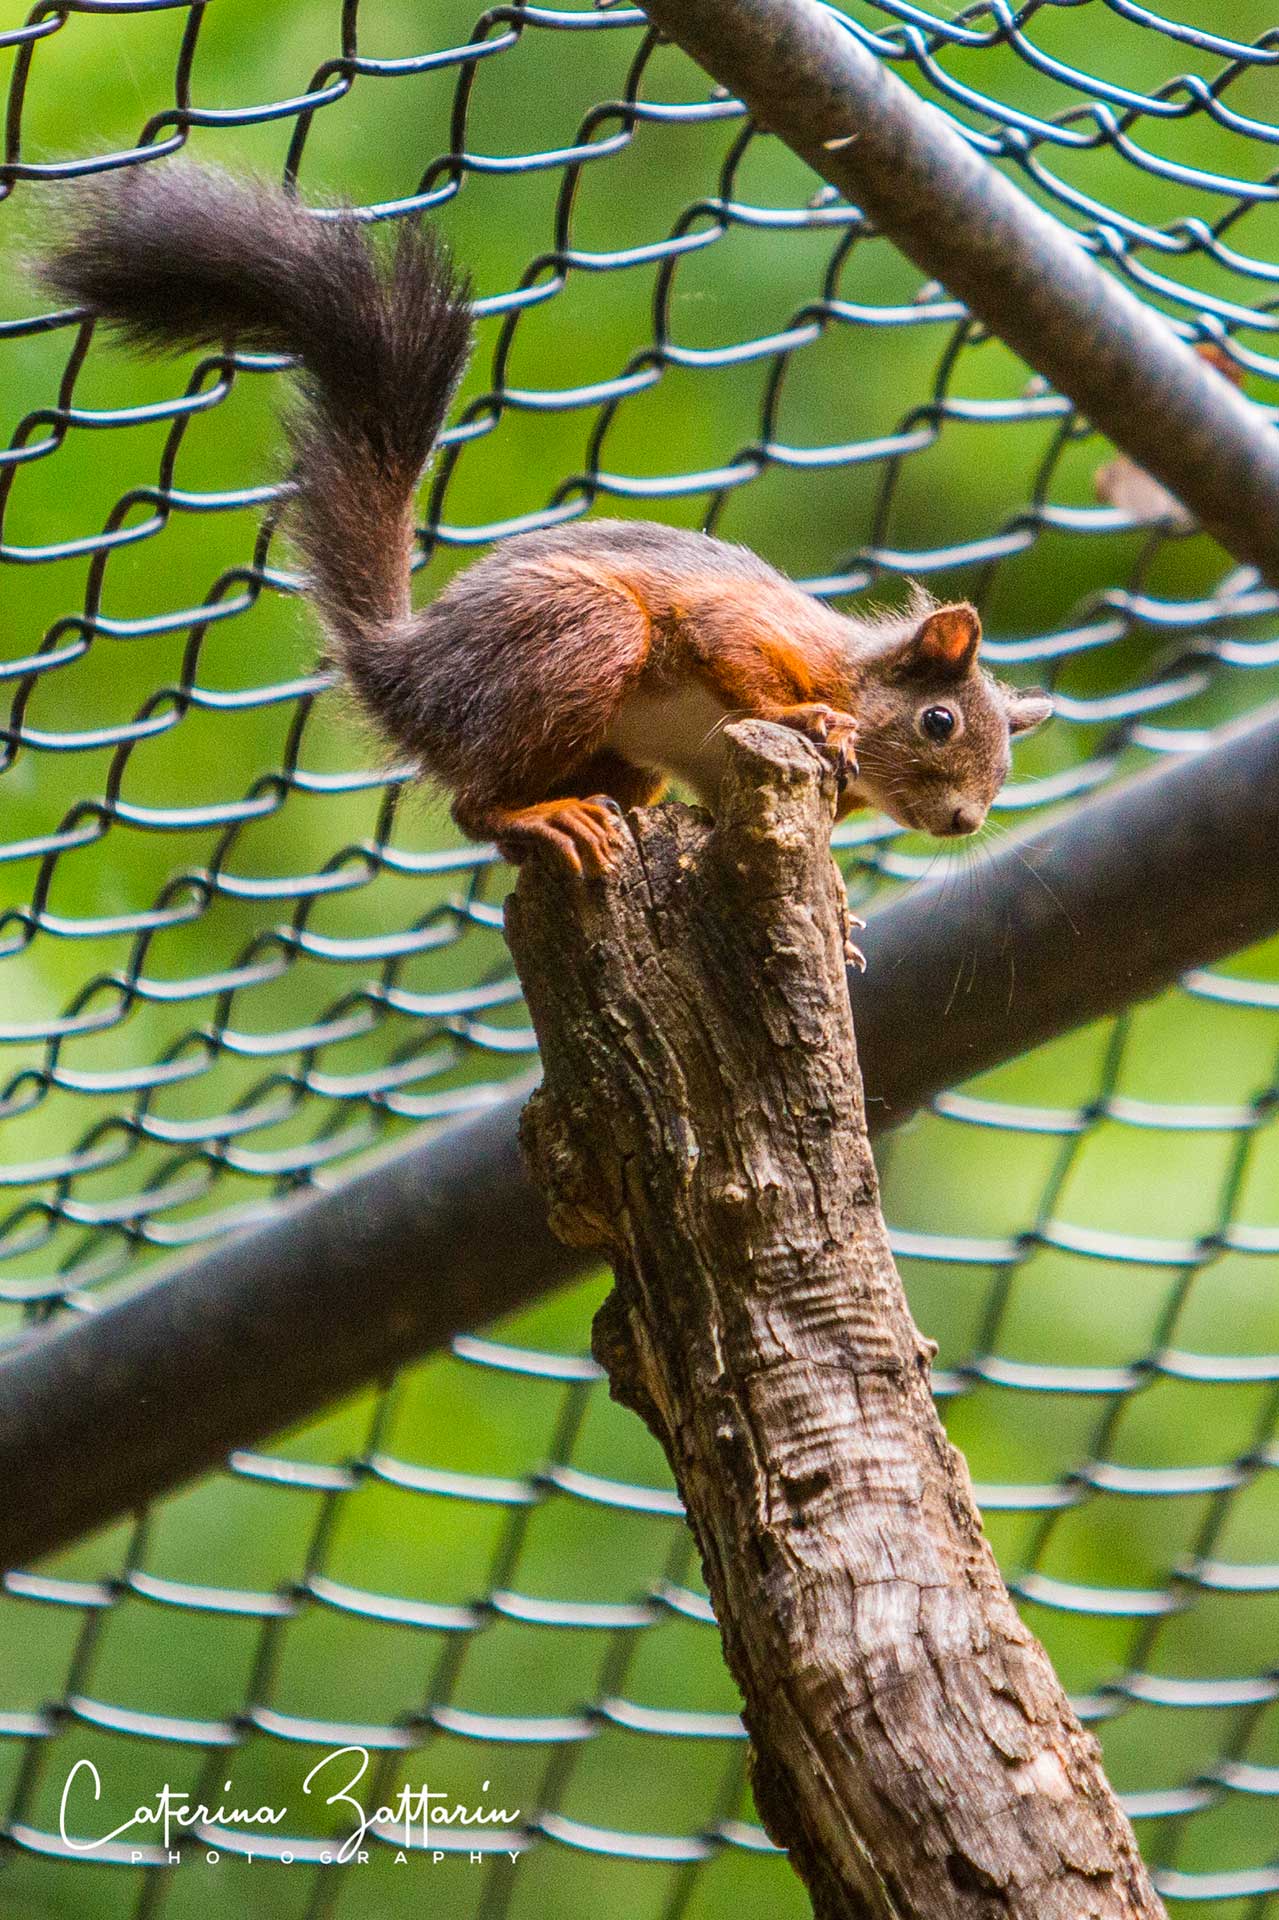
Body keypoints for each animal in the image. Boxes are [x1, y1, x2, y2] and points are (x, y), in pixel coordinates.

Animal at [37, 164, 1051, 876]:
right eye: (938, 723)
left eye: (1005, 765)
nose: (962, 820)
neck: (854, 669)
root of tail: (403, 672)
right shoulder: (750, 626)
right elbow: (731, 648)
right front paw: (805, 716)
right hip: (578, 639)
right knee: (472, 808)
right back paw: (541, 816)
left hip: (621, 757)